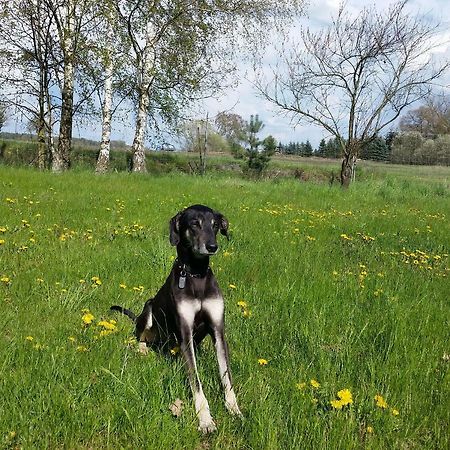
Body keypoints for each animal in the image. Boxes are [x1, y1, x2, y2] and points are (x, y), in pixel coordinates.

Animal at [110, 204, 241, 432]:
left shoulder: (218, 330)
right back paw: (143, 348)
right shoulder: (185, 332)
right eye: (195, 223)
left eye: (215, 225)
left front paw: (234, 409)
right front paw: (205, 419)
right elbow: (195, 381)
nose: (212, 246)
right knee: (141, 334)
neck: (196, 274)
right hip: (149, 308)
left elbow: (226, 375)